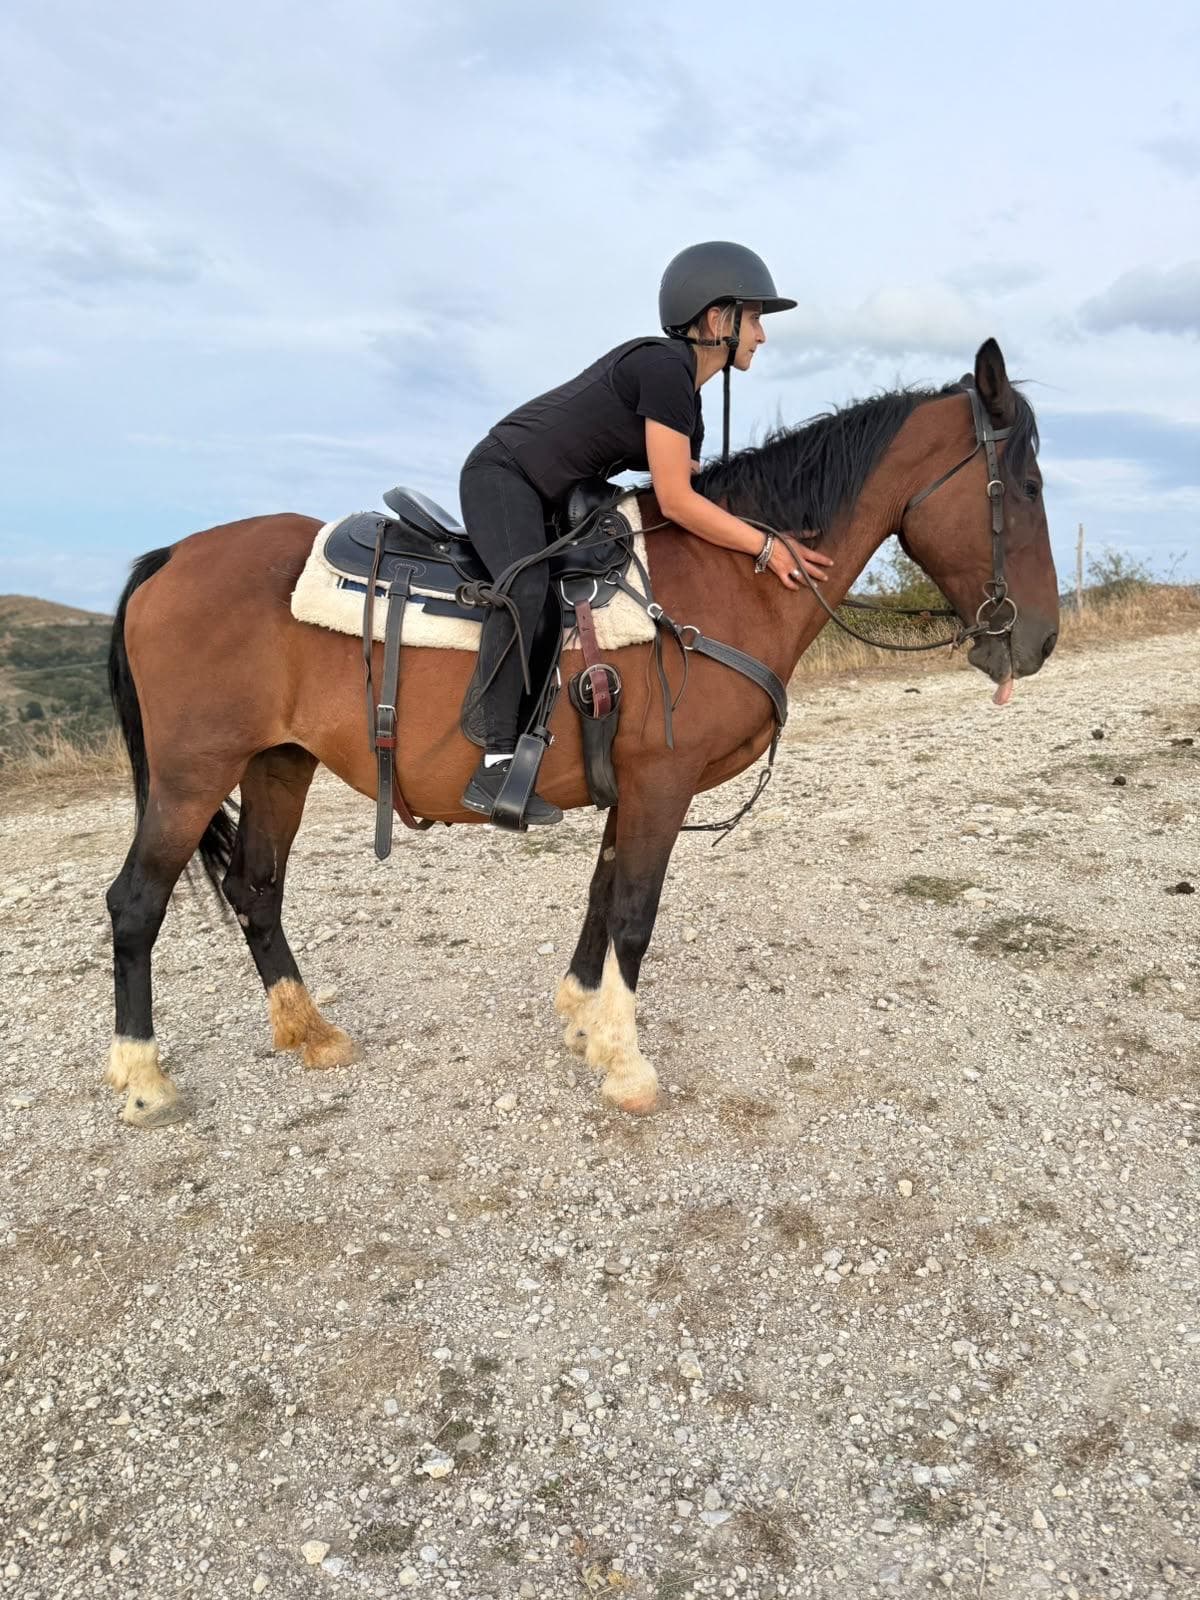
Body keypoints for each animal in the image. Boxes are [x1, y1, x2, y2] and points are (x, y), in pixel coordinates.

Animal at [103, 338, 1057, 1128]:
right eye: (1030, 486)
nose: (1039, 640)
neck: (724, 581)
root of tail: (171, 558)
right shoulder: (663, 781)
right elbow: (634, 911)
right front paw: (626, 1065)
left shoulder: (630, 785)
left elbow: (600, 898)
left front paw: (583, 1022)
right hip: (194, 773)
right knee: (136, 903)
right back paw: (144, 1080)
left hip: (276, 763)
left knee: (257, 888)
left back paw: (310, 1031)